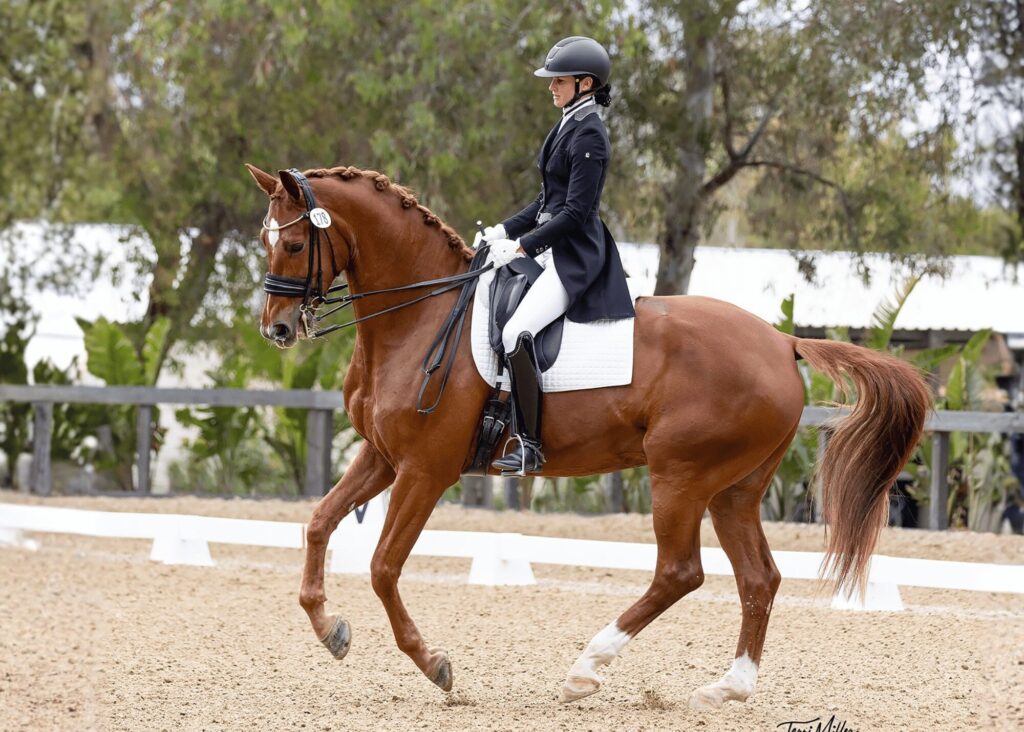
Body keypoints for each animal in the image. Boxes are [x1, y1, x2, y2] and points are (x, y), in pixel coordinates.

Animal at [244, 163, 930, 709]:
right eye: (263, 240)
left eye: (297, 241)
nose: (276, 329)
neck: (422, 316)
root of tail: (783, 340)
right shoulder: (384, 457)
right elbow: (317, 525)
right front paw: (329, 628)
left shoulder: (424, 469)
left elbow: (384, 566)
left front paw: (434, 663)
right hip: (734, 489)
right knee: (758, 578)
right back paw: (726, 688)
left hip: (680, 476)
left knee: (679, 572)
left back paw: (584, 669)